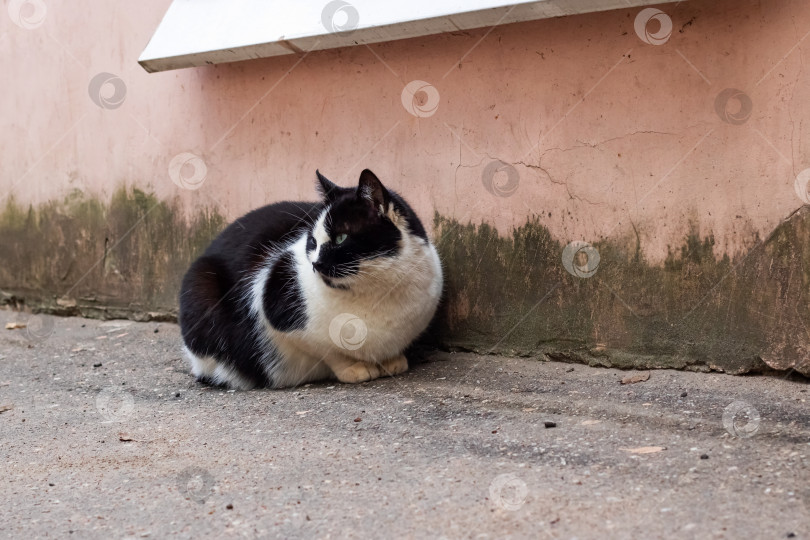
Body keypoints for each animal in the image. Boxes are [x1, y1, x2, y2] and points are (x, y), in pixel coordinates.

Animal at [178, 169, 442, 388]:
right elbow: (328, 351)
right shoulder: (279, 306)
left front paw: (392, 361)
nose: (315, 264)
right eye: (312, 242)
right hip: (200, 285)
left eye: (340, 238)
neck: (376, 292)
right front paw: (354, 368)